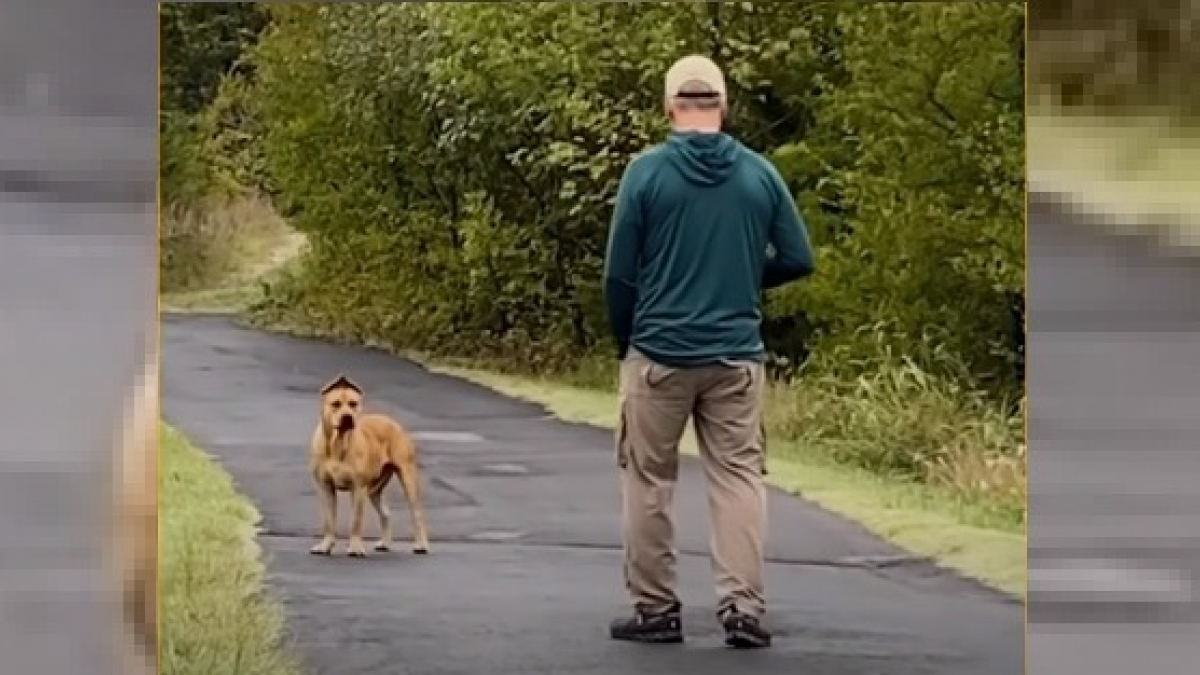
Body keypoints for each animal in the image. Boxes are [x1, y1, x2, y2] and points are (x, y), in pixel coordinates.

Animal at [309, 369, 432, 554]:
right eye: (336, 404)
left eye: (353, 404)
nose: (347, 417)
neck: (338, 443)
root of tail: (391, 421)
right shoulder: (326, 487)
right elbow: (329, 521)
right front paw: (325, 545)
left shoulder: (358, 488)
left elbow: (355, 521)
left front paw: (355, 548)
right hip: (374, 490)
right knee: (386, 513)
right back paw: (385, 543)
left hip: (408, 479)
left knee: (416, 513)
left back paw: (421, 545)